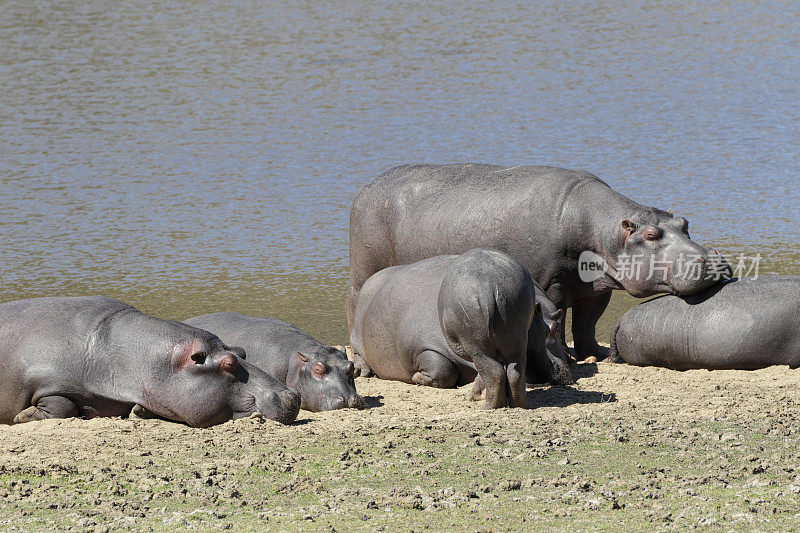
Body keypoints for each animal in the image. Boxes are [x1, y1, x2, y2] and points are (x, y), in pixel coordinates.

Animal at [0, 298, 300, 426]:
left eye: (243, 352)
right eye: (228, 363)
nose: (292, 395)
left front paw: (138, 411)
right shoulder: (47, 382)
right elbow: (62, 405)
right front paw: (22, 416)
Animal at [346, 163, 736, 362]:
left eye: (684, 223)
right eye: (652, 235)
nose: (711, 260)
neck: (603, 228)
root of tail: (364, 188)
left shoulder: (597, 288)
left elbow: (587, 324)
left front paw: (594, 354)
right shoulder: (553, 283)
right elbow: (560, 319)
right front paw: (571, 357)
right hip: (363, 270)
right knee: (355, 303)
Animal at [350, 247, 568, 406]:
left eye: (557, 328)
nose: (554, 368)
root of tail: (372, 279)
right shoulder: (422, 347)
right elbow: (444, 370)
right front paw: (417, 377)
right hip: (358, 336)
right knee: (358, 353)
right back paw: (362, 371)